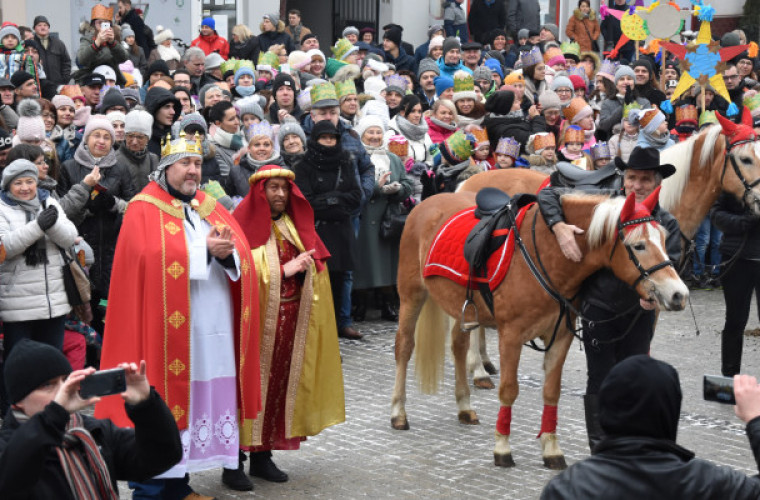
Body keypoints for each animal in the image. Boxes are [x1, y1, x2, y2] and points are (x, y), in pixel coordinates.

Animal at [392, 188, 688, 468]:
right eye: (638, 246)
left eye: (664, 241)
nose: (678, 294)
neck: (549, 254)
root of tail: (427, 202)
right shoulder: (510, 337)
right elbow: (509, 390)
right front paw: (502, 448)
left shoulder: (560, 337)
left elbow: (551, 391)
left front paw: (551, 449)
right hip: (411, 295)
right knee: (404, 347)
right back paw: (398, 412)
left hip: (461, 309)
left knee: (459, 348)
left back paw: (464, 405)